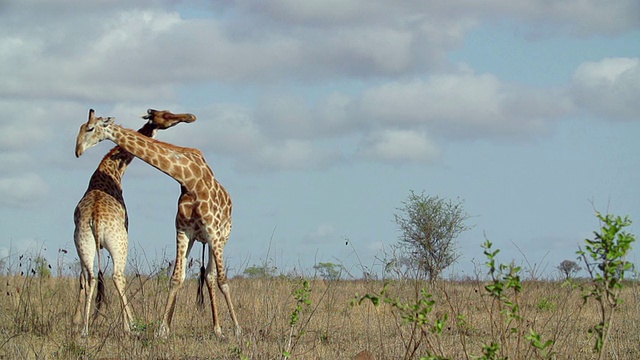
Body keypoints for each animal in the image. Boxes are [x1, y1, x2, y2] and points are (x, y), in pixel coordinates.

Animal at [75, 108, 240, 338]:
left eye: (89, 128)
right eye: (164, 114)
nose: (78, 150)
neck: (190, 180)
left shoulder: (213, 233)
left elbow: (223, 280)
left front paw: (237, 328)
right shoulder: (183, 231)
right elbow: (176, 278)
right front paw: (163, 329)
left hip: (220, 238)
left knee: (212, 276)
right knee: (207, 276)